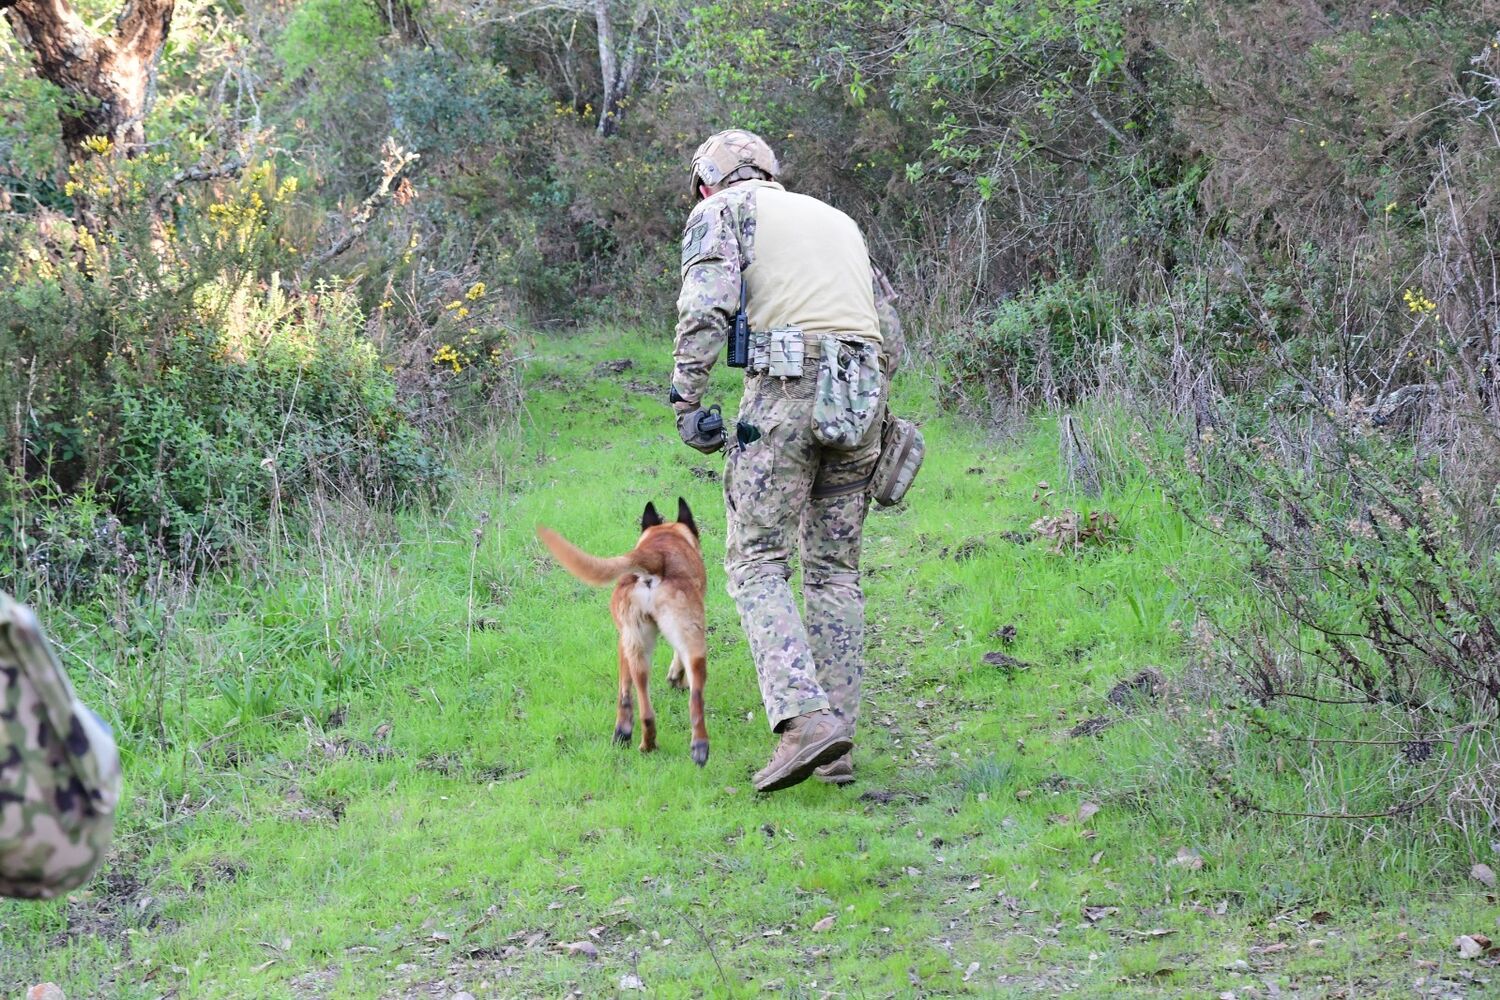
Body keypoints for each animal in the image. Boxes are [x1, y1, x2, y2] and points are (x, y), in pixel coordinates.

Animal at [535, 498, 710, 766]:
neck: (666, 536)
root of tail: (656, 558)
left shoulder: (623, 643)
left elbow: (624, 694)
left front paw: (621, 732)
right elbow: (676, 658)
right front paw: (676, 677)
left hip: (638, 648)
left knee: (647, 703)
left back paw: (654, 743)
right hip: (678, 644)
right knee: (690, 699)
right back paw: (687, 746)